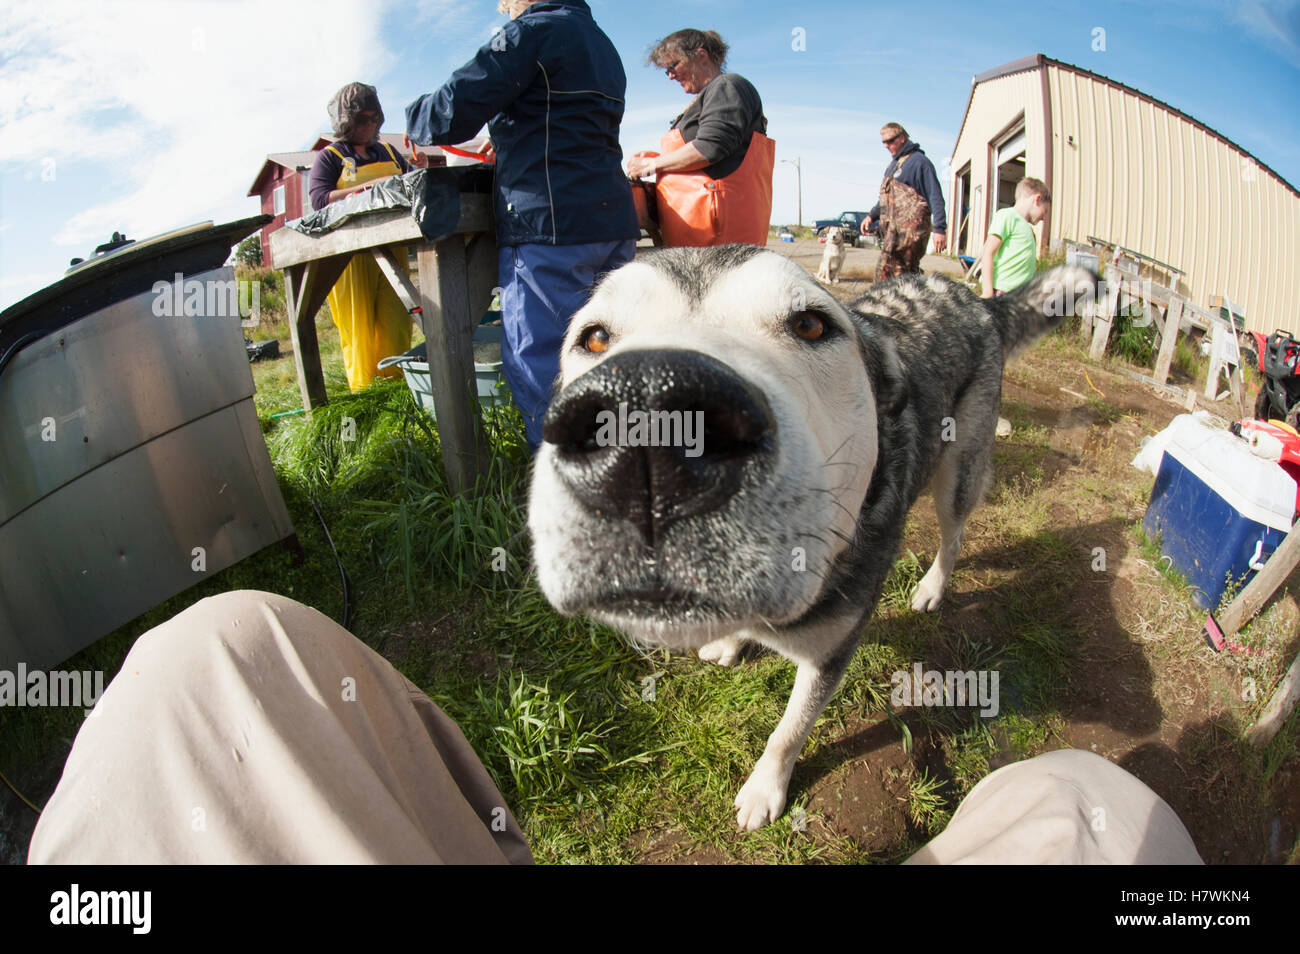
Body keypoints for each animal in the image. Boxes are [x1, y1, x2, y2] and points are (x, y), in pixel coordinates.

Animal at [527, 244, 1097, 831]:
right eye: (594, 338)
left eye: (809, 324)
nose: (651, 422)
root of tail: (975, 301)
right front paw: (730, 641)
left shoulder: (832, 653)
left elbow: (790, 730)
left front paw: (765, 791)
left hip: (958, 470)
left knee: (955, 531)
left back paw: (933, 586)